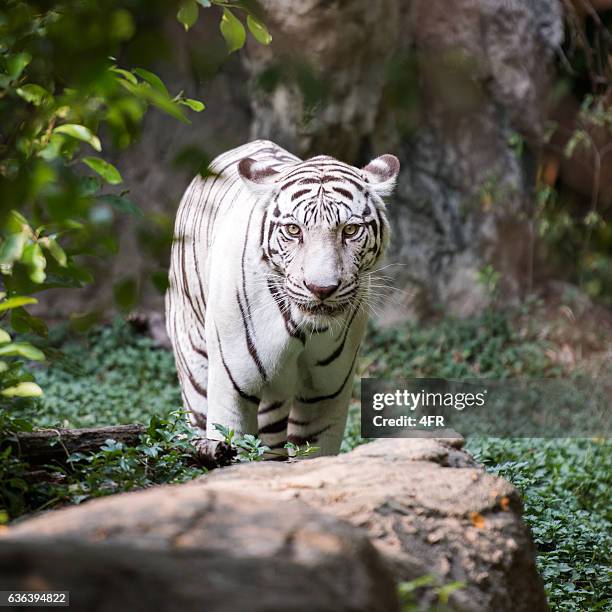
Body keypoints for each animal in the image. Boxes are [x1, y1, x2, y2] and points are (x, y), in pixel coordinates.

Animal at [165, 139, 400, 454]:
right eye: (293, 230)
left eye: (350, 230)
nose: (321, 288)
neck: (304, 328)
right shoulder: (232, 390)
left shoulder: (326, 394)